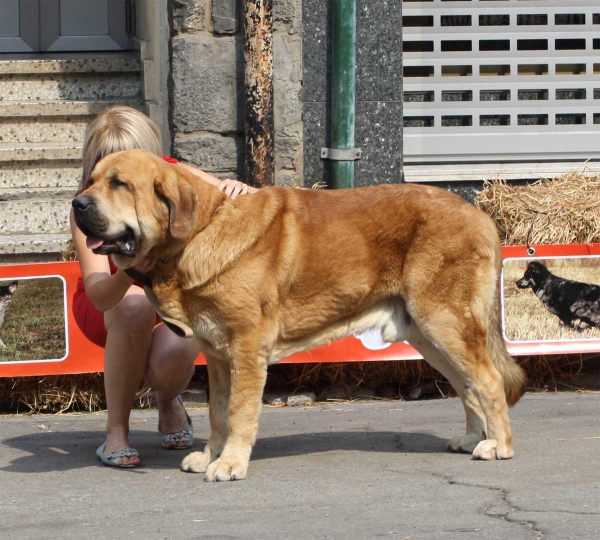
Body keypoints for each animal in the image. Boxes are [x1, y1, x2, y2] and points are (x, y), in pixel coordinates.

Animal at [72, 149, 528, 480]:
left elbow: (238, 413)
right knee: (467, 385)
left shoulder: (246, 349)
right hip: (428, 335)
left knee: (487, 381)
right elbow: (218, 413)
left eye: (118, 184)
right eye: (92, 180)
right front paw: (210, 456)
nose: (76, 203)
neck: (199, 233)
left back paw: (499, 446)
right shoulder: (218, 356)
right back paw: (471, 438)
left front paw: (230, 464)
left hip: (445, 322)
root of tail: (482, 217)